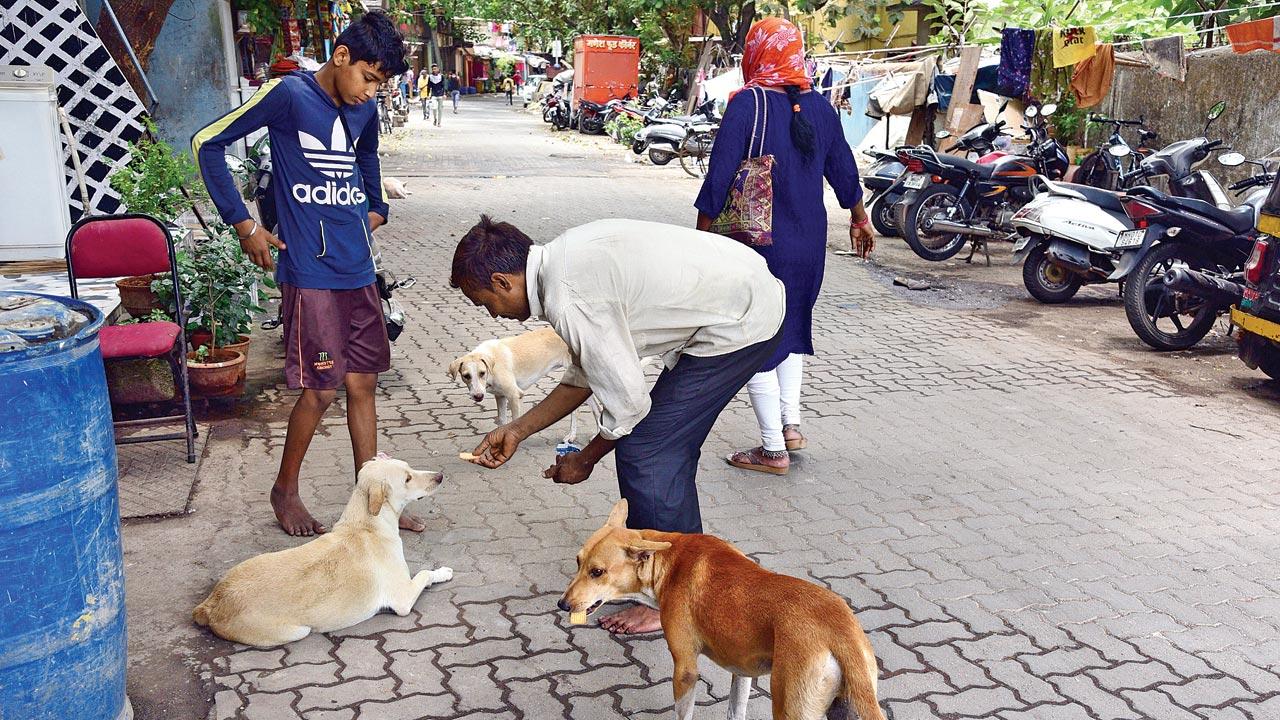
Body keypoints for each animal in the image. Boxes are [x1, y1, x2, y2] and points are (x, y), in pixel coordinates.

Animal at [189, 456, 450, 648]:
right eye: (407, 478)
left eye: (410, 468)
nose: (440, 476)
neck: (365, 524)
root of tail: (211, 603)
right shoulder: (402, 599)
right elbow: (425, 573)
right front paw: (443, 572)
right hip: (296, 631)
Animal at [565, 499, 885, 717]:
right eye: (578, 562)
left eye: (597, 572)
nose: (562, 603)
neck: (669, 562)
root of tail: (838, 629)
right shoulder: (742, 671)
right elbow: (735, 708)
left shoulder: (685, 669)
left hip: (791, 706)